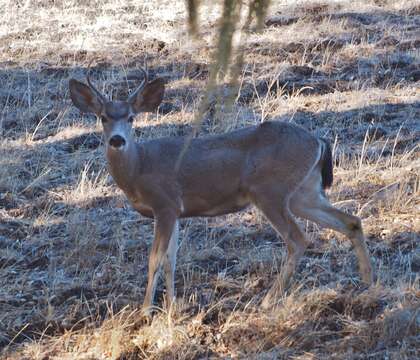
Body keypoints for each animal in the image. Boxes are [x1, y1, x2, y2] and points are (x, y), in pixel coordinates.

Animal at [69, 67, 374, 312]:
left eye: (132, 117)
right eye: (103, 117)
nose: (117, 140)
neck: (139, 168)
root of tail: (318, 141)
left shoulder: (165, 203)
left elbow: (155, 259)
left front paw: (146, 311)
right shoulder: (176, 213)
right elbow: (171, 259)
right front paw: (171, 307)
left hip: (269, 191)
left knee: (298, 239)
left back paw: (267, 300)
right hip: (303, 192)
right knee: (350, 220)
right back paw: (368, 281)